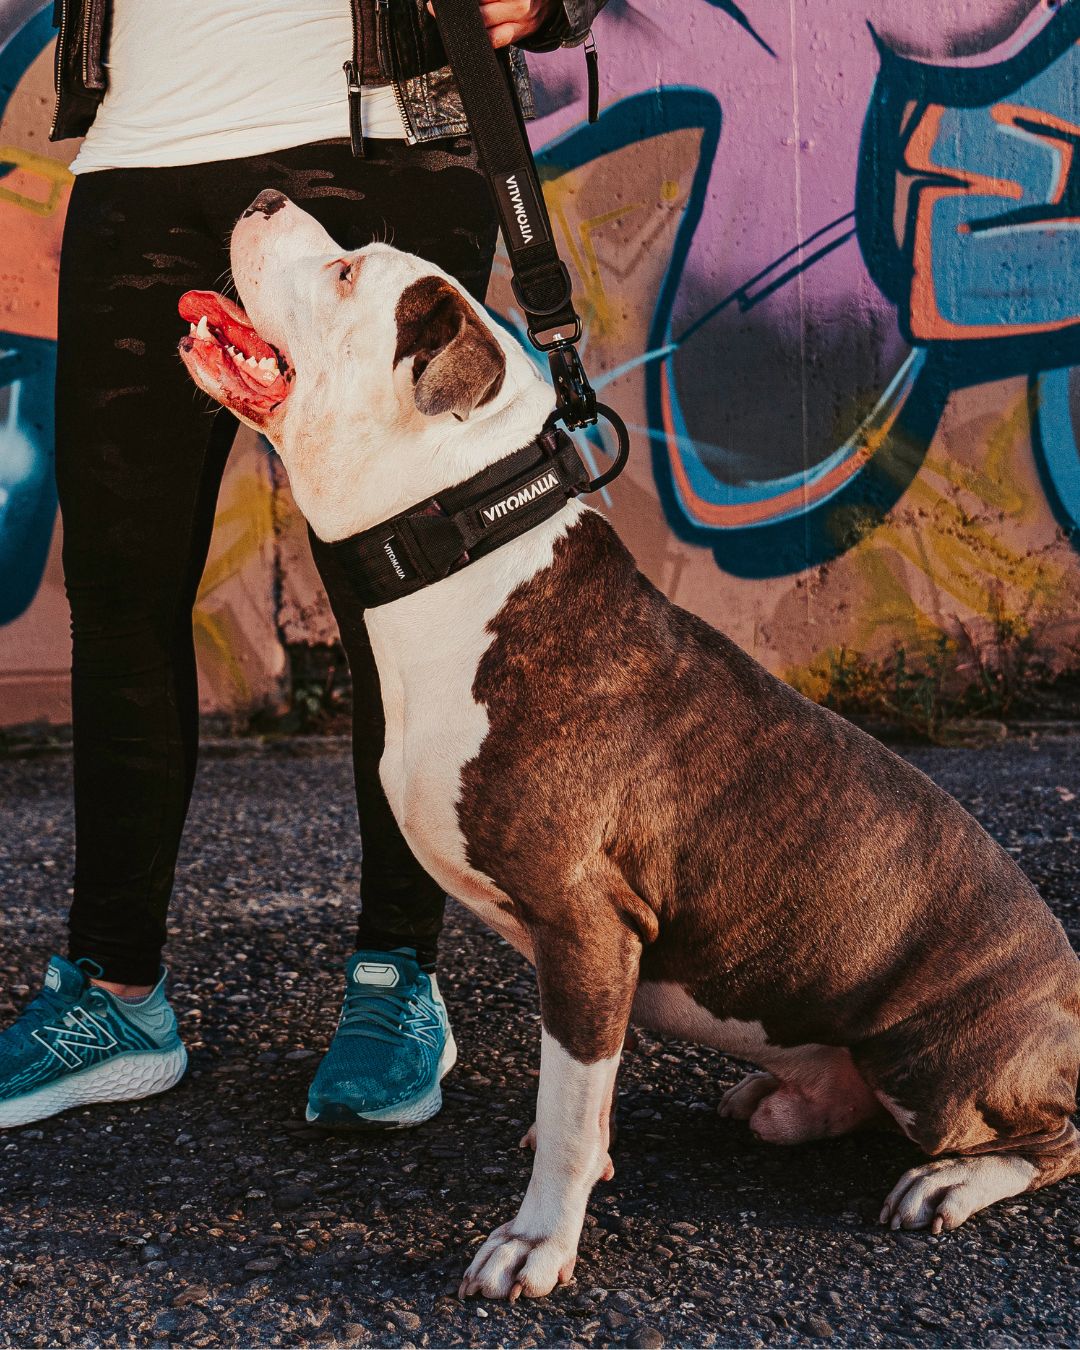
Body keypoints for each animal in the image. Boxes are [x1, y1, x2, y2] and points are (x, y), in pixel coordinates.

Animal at [179, 189, 1080, 1303]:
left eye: (348, 273)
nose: (263, 196)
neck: (466, 552)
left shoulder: (585, 922)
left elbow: (569, 1103)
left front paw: (537, 1242)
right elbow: (584, 1094)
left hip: (939, 1060)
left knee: (1050, 1137)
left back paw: (951, 1181)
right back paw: (797, 1101)